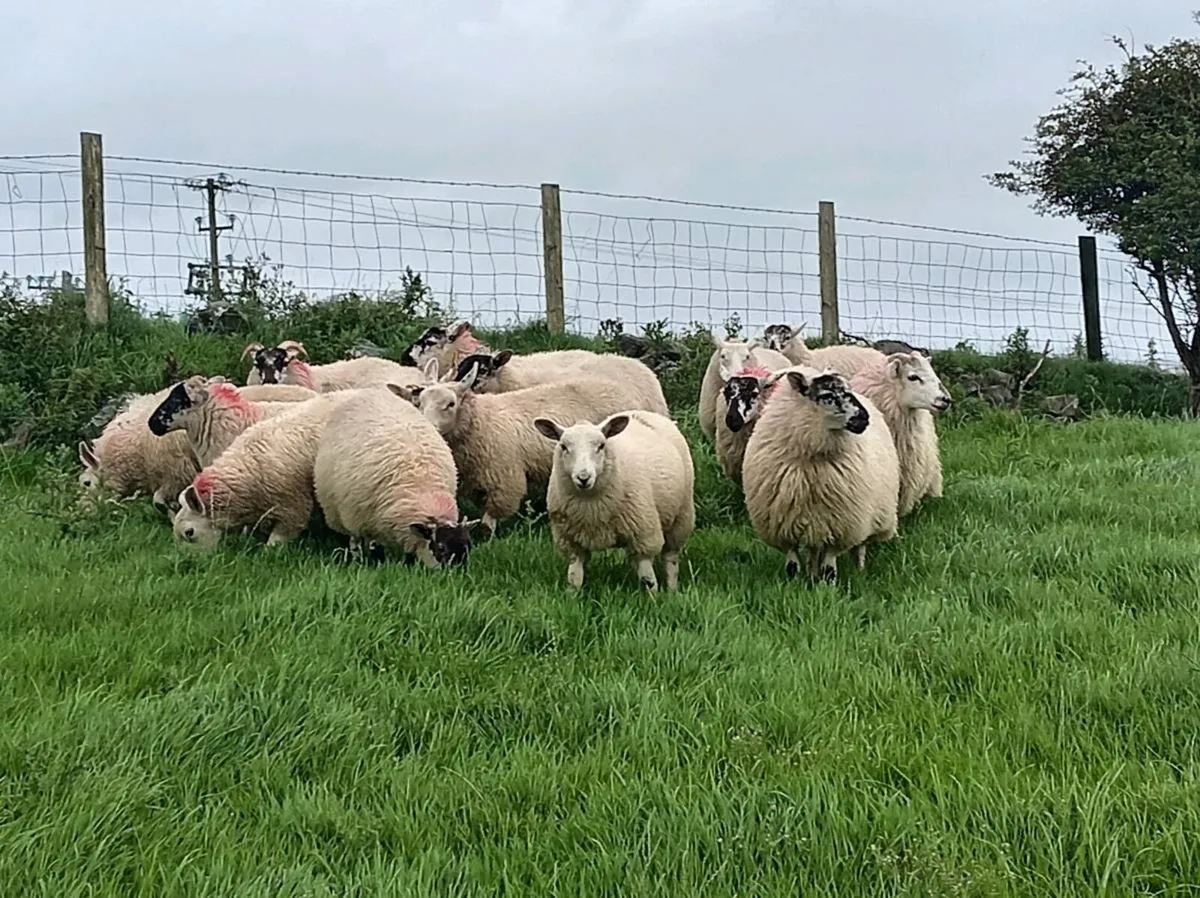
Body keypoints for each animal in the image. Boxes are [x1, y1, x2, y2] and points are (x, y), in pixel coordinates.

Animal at [313, 387, 485, 569]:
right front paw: (375, 562)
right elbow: (373, 545)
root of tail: (371, 392)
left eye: (468, 546)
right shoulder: (366, 519)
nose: (457, 572)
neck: (423, 487)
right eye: (441, 548)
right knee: (355, 540)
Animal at [389, 361, 666, 535]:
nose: (428, 425)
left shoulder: (503, 478)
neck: (481, 422)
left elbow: (490, 519)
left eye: (450, 404)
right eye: (419, 401)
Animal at [533, 409, 695, 592]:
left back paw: (672, 589)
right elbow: (575, 576)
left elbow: (648, 578)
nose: (583, 478)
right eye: (563, 447)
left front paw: (654, 597)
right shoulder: (571, 541)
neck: (591, 508)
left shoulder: (643, 534)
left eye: (601, 446)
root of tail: (644, 412)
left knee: (671, 558)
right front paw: (573, 595)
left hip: (681, 517)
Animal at [742, 366, 900, 583]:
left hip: (871, 516)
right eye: (827, 395)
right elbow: (792, 563)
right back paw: (811, 573)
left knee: (860, 547)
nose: (863, 418)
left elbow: (829, 566)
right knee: (813, 549)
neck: (812, 459)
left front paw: (828, 586)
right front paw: (793, 584)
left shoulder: (840, 524)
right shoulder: (784, 526)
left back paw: (859, 570)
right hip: (813, 521)